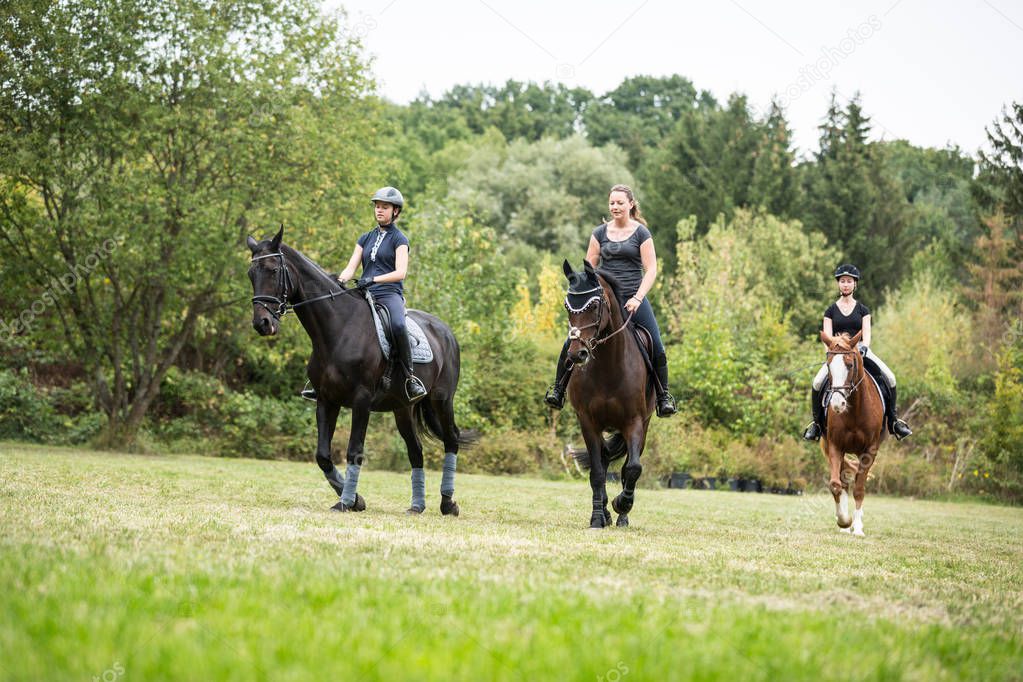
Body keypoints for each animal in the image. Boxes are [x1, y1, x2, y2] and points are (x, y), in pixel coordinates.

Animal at [247, 226, 474, 515]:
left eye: (273, 270)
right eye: (251, 274)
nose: (262, 323)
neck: (339, 330)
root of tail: (445, 331)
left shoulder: (361, 400)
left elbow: (354, 451)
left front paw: (346, 502)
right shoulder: (326, 400)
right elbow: (322, 455)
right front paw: (355, 500)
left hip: (441, 400)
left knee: (451, 441)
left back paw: (448, 503)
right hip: (403, 408)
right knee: (416, 451)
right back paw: (417, 506)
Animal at [560, 258, 654, 531]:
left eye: (594, 305)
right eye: (568, 306)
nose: (577, 354)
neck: (608, 366)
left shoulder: (634, 422)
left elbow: (632, 468)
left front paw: (622, 505)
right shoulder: (588, 422)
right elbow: (597, 472)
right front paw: (597, 518)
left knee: (625, 466)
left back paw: (621, 517)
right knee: (601, 462)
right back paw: (605, 512)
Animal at [818, 331, 883, 539]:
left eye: (850, 365)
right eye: (829, 365)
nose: (837, 404)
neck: (855, 410)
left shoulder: (869, 451)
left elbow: (860, 489)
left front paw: (858, 528)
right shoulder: (835, 446)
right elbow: (836, 485)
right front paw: (844, 521)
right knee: (844, 483)